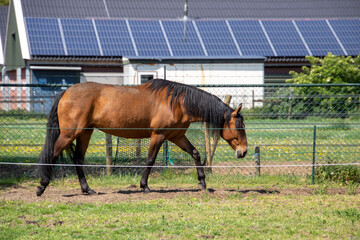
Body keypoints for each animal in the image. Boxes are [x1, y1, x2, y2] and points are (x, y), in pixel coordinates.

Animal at [36, 79, 248, 196]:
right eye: (239, 127)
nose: (244, 152)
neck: (178, 102)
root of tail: (66, 91)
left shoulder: (177, 136)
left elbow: (195, 153)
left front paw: (202, 182)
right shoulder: (158, 135)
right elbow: (150, 160)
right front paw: (144, 186)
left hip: (85, 133)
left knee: (78, 158)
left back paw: (87, 189)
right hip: (70, 133)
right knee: (53, 154)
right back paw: (42, 186)